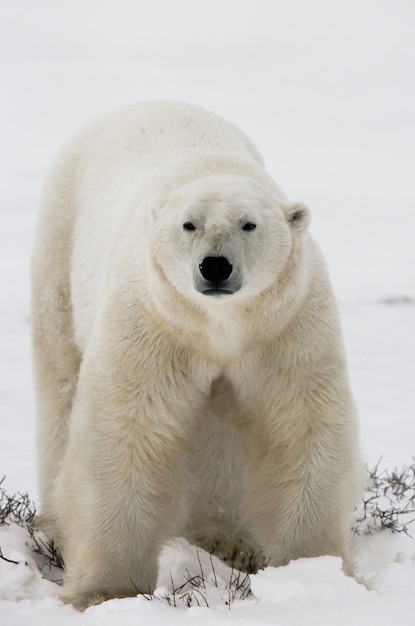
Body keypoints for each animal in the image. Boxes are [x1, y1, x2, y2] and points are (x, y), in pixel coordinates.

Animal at [31, 101, 364, 604]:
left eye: (249, 224)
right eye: (188, 225)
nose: (216, 266)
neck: (220, 326)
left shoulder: (286, 328)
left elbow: (300, 424)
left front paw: (313, 572)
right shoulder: (154, 322)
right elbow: (126, 429)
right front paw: (106, 591)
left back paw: (232, 542)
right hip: (59, 249)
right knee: (61, 383)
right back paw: (54, 525)